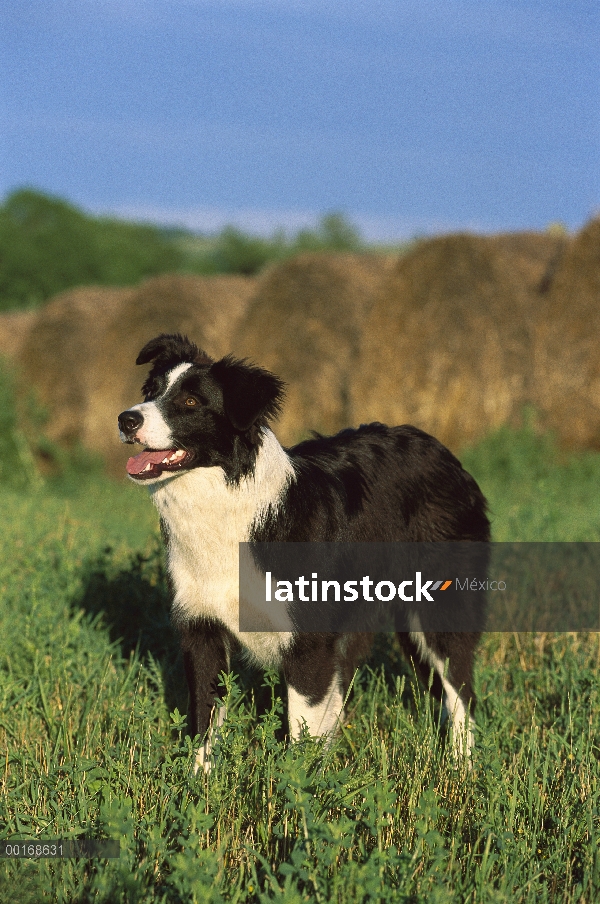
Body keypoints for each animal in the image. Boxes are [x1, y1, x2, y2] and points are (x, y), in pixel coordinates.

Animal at [119, 332, 490, 768]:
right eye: (150, 391)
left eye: (191, 402)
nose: (126, 419)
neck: (225, 501)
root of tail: (442, 451)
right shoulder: (201, 628)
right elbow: (204, 721)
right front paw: (197, 782)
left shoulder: (308, 639)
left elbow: (301, 726)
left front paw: (295, 783)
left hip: (435, 610)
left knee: (460, 691)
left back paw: (461, 768)